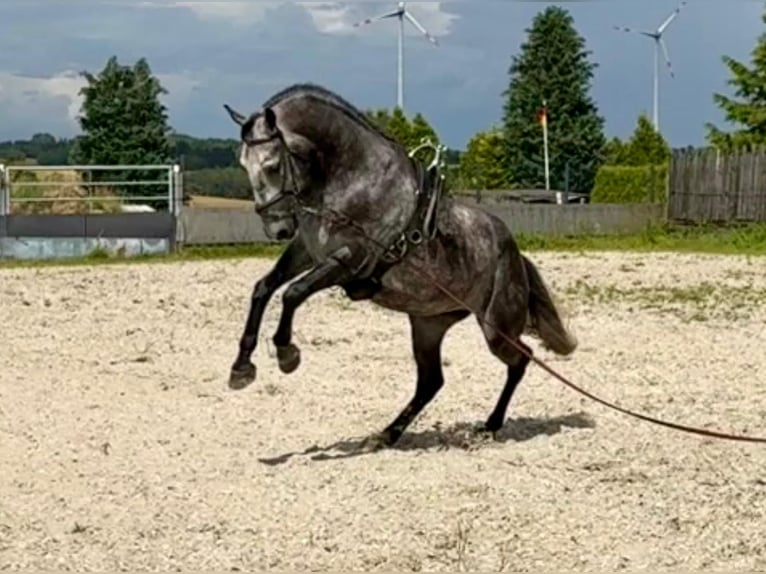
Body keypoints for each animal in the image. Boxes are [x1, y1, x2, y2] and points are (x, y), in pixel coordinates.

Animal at [222, 83, 576, 452]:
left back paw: (489, 426)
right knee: (431, 381)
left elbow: (293, 292)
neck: (350, 180)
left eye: (273, 165)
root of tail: (515, 255)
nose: (277, 229)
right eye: (243, 164)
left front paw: (286, 354)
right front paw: (241, 368)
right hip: (428, 325)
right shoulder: (307, 251)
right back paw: (387, 434)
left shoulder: (352, 258)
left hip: (496, 328)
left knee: (520, 360)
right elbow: (264, 288)